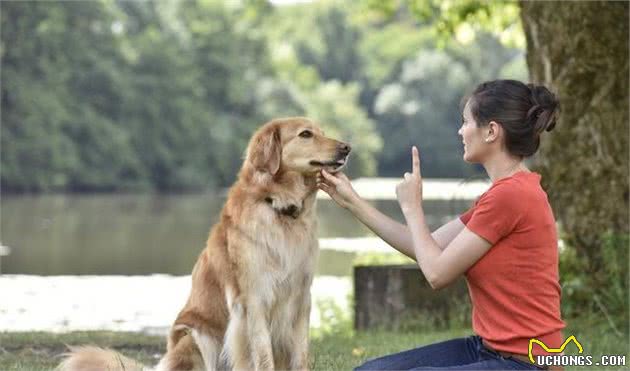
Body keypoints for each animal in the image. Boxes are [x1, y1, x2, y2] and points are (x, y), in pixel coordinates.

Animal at [58, 118, 350, 371]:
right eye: (305, 134)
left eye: (321, 132)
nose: (347, 148)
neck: (279, 208)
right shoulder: (254, 299)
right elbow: (262, 354)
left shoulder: (301, 298)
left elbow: (300, 354)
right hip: (195, 336)